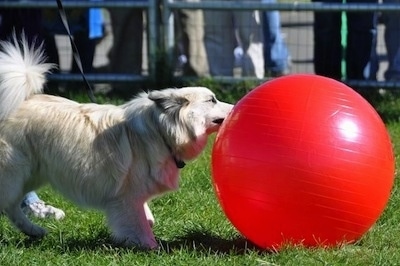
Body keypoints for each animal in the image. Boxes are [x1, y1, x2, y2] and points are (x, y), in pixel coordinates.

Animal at [0, 35, 233, 249]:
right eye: (212, 100)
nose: (234, 107)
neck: (160, 132)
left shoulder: (134, 195)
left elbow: (146, 217)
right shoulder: (127, 197)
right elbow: (140, 225)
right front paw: (151, 248)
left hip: (31, 174)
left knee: (12, 207)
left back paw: (34, 231)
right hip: (14, 174)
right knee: (9, 204)